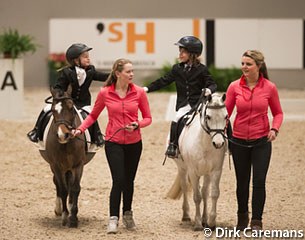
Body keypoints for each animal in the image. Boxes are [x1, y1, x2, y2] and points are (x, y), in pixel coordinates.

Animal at [38, 85, 92, 228]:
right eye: (53, 110)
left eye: (71, 107)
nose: (63, 135)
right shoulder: (56, 165)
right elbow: (62, 189)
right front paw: (64, 215)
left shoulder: (78, 165)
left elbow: (75, 188)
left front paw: (73, 218)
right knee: (58, 184)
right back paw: (59, 209)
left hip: (69, 167)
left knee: (70, 185)